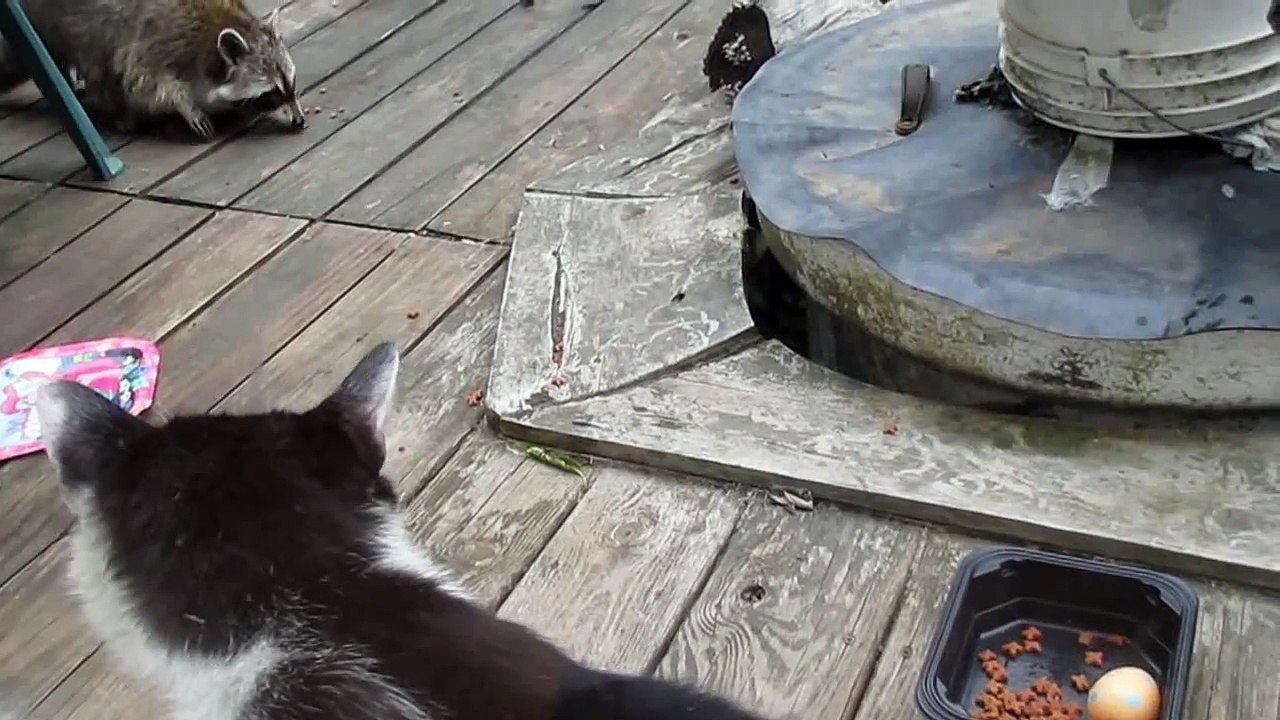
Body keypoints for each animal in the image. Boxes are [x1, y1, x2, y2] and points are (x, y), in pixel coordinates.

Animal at [0, 0, 306, 140]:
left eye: (291, 83)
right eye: (272, 92)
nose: (300, 121)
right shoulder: (156, 43)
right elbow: (149, 82)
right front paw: (186, 107)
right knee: (102, 61)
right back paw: (118, 112)